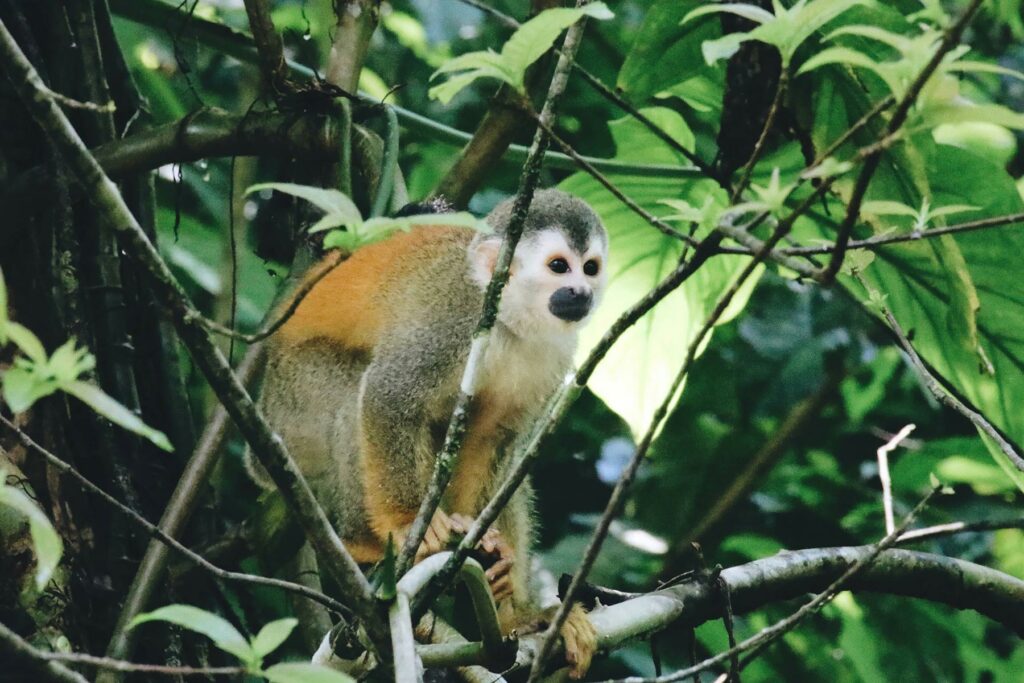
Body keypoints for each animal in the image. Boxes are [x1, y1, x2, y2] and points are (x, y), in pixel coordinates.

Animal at [250, 188, 606, 679]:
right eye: (559, 266)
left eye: (589, 267)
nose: (581, 292)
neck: (510, 320)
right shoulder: (453, 322)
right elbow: (388, 394)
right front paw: (404, 523)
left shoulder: (551, 355)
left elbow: (491, 440)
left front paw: (495, 564)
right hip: (291, 408)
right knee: (353, 389)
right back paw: (363, 541)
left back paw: (517, 612)